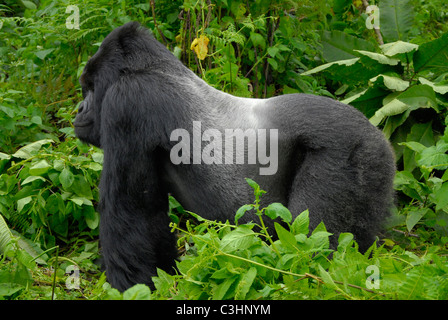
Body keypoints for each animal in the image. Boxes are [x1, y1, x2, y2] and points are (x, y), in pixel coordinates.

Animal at [74, 21, 396, 292]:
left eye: (89, 87)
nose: (78, 109)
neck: (154, 68)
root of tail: (381, 138)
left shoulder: (126, 102)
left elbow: (131, 214)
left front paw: (131, 288)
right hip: (373, 166)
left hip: (348, 152)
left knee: (310, 243)